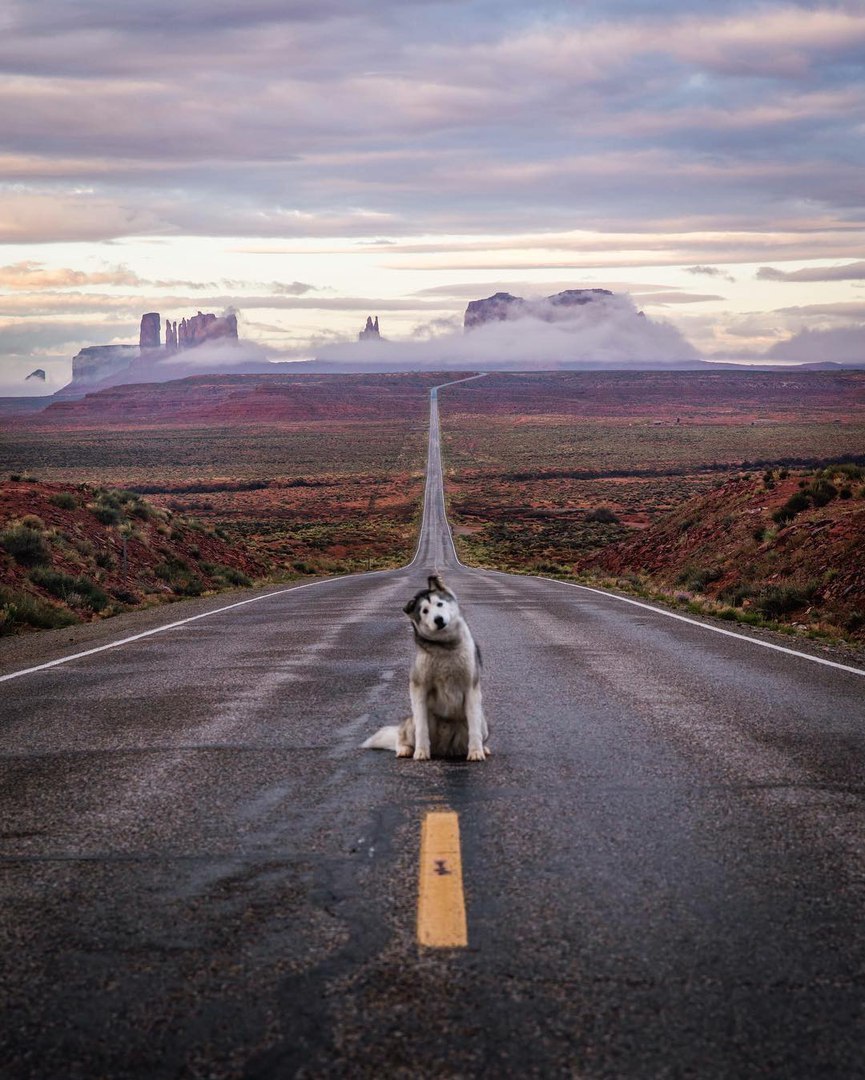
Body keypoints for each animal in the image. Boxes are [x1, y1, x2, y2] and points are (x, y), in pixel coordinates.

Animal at [360, 578, 490, 764]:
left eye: (439, 604)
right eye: (425, 611)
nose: (438, 619)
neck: (445, 647)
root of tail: (444, 750)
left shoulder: (471, 688)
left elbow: (474, 728)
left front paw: (476, 752)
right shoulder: (419, 687)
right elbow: (422, 729)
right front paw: (420, 752)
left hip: (483, 723)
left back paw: (482, 748)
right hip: (414, 722)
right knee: (401, 735)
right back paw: (406, 749)